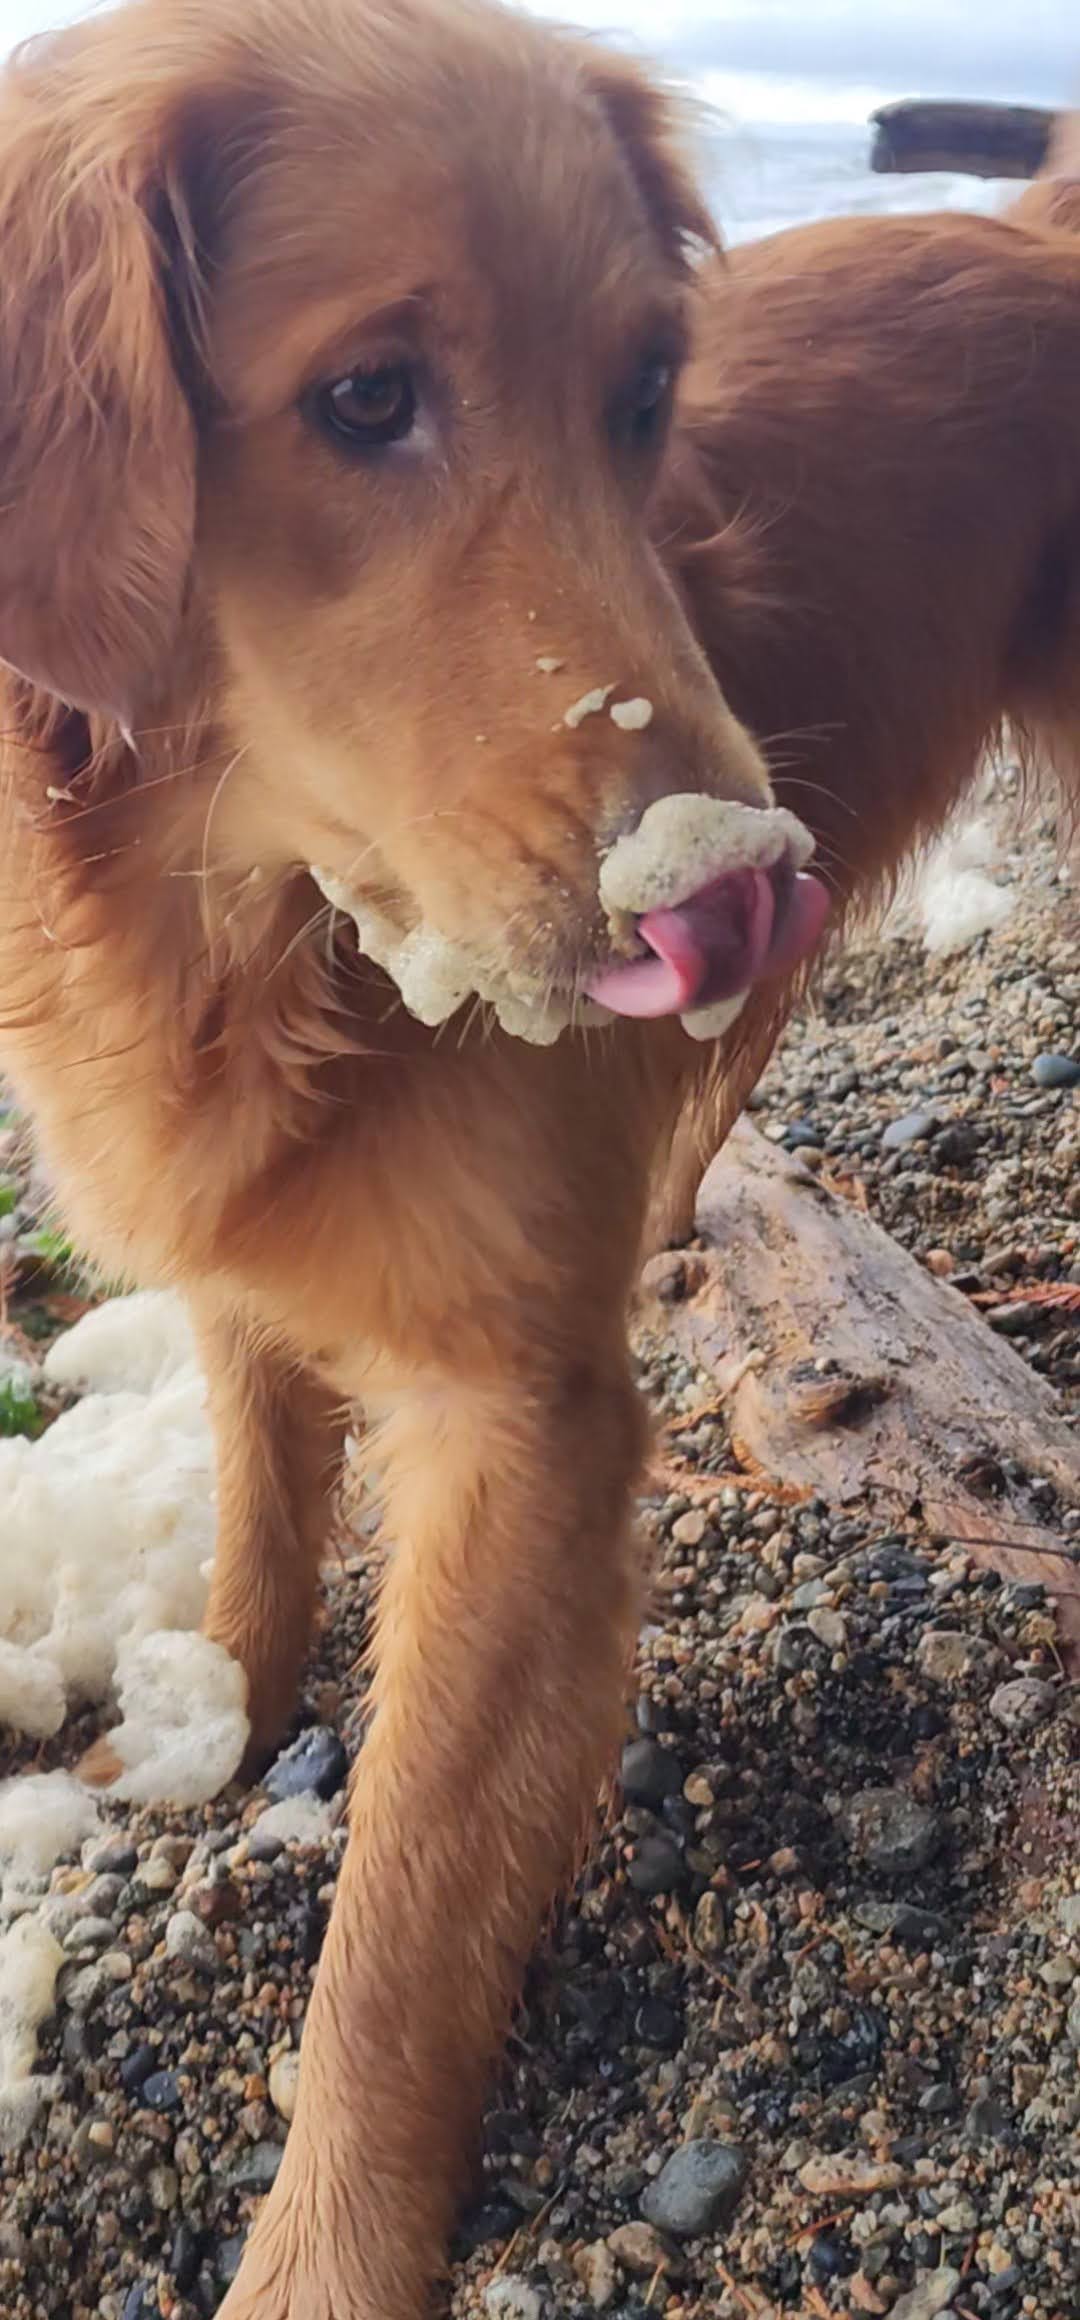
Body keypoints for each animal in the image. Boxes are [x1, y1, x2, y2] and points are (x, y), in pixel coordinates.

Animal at [0, 9, 1075, 2310]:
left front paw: (320, 2254)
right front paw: (208, 1724)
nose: (749, 886)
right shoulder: (248, 1253)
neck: (254, 950)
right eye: (365, 398)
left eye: (647, 389)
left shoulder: (517, 1437)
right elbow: (257, 1512)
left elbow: (401, 1928)